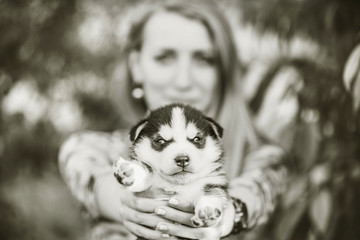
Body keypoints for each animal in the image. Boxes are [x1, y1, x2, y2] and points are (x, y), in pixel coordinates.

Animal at [114, 103, 229, 231]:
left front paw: (207, 208)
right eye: (161, 141)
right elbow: (146, 170)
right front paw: (129, 170)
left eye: (196, 139)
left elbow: (213, 191)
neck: (179, 185)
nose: (182, 159)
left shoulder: (214, 180)